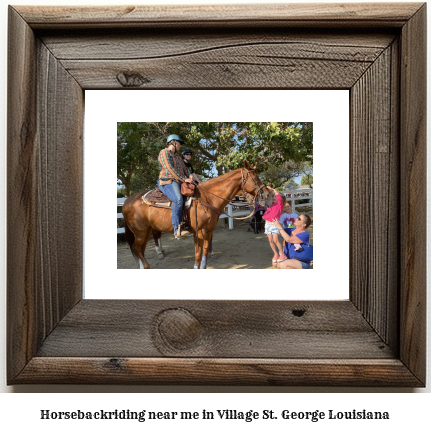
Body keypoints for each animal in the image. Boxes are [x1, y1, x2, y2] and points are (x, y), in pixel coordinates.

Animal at [121, 160, 268, 268]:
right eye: (255, 177)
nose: (266, 193)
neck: (207, 198)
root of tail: (127, 201)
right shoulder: (199, 232)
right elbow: (198, 255)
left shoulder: (208, 231)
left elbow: (205, 253)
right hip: (140, 232)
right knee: (137, 248)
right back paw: (146, 266)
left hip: (146, 231)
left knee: (140, 249)